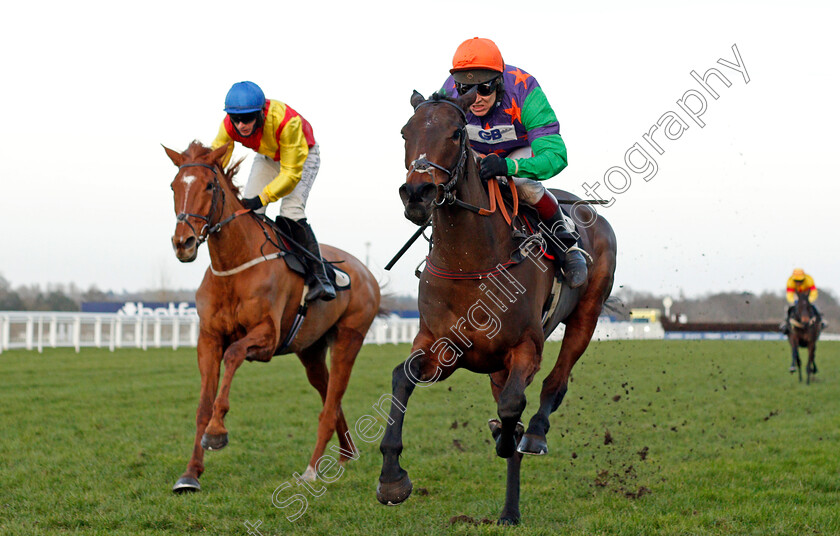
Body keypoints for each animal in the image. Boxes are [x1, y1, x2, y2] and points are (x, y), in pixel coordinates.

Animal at [165, 140, 380, 492]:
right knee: (329, 399)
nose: (183, 242)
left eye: (209, 185)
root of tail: (366, 271)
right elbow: (203, 404)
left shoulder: (266, 336)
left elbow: (234, 354)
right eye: (174, 186)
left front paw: (217, 432)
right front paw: (190, 474)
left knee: (330, 404)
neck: (234, 266)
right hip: (311, 351)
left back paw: (311, 470)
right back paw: (346, 453)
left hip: (350, 338)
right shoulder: (208, 338)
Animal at [378, 92, 620, 524]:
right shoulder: (441, 347)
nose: (418, 193)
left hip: (586, 315)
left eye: (456, 133)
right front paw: (391, 478)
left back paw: (534, 434)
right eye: (405, 132)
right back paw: (509, 508)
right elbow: (401, 378)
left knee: (555, 382)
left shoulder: (526, 347)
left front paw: (512, 438)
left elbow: (512, 406)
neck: (469, 261)